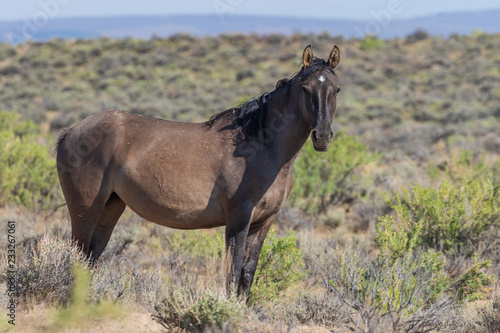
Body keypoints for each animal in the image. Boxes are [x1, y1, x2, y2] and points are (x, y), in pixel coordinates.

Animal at [56, 44, 342, 296]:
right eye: (305, 88)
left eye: (336, 89)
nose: (322, 136)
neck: (260, 146)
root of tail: (71, 132)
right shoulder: (238, 219)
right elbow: (232, 273)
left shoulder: (264, 222)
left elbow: (247, 273)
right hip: (85, 211)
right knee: (77, 255)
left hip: (111, 206)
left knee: (90, 257)